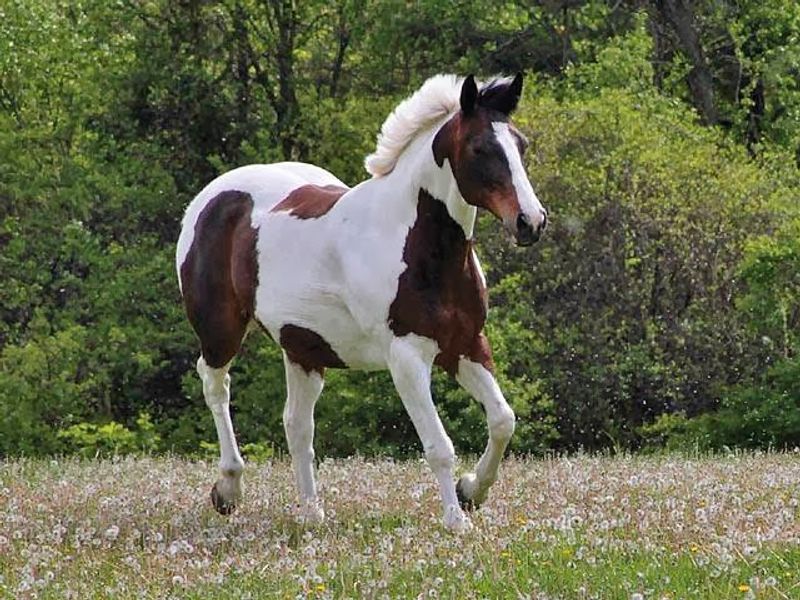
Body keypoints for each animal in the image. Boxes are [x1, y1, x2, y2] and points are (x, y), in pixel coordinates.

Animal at [176, 73, 547, 533]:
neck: (417, 246)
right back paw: (228, 490)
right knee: (215, 385)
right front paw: (457, 520)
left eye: (521, 144)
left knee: (297, 425)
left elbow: (502, 421)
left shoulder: (465, 345)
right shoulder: (407, 358)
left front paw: (471, 491)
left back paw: (312, 513)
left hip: (303, 348)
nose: (531, 222)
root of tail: (210, 198)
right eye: (480, 148)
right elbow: (438, 445)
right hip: (221, 331)